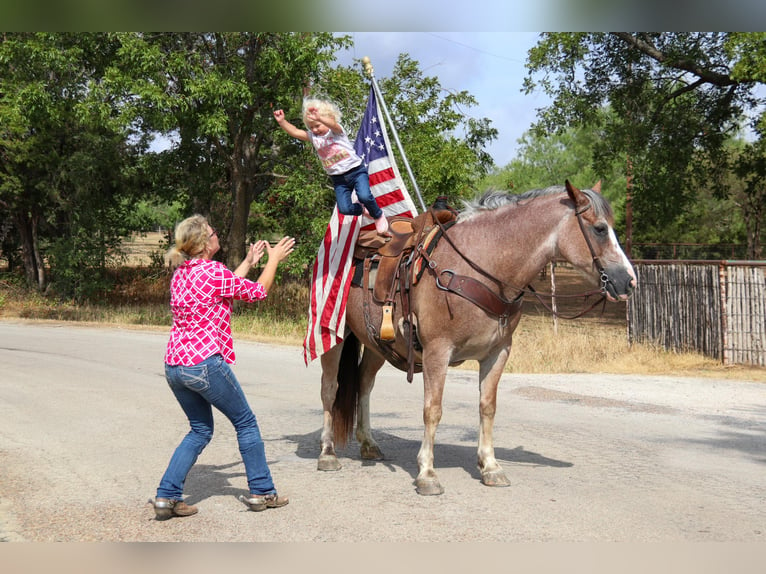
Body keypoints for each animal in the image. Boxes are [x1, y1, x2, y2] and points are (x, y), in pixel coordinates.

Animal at [316, 180, 636, 496]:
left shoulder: (498, 353)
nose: (628, 281)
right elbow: (432, 410)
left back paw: (369, 444)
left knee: (364, 384)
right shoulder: (437, 352)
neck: (479, 266)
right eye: (599, 228)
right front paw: (427, 473)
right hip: (332, 335)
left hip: (376, 346)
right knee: (330, 389)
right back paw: (328, 454)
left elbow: (487, 407)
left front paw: (490, 466)